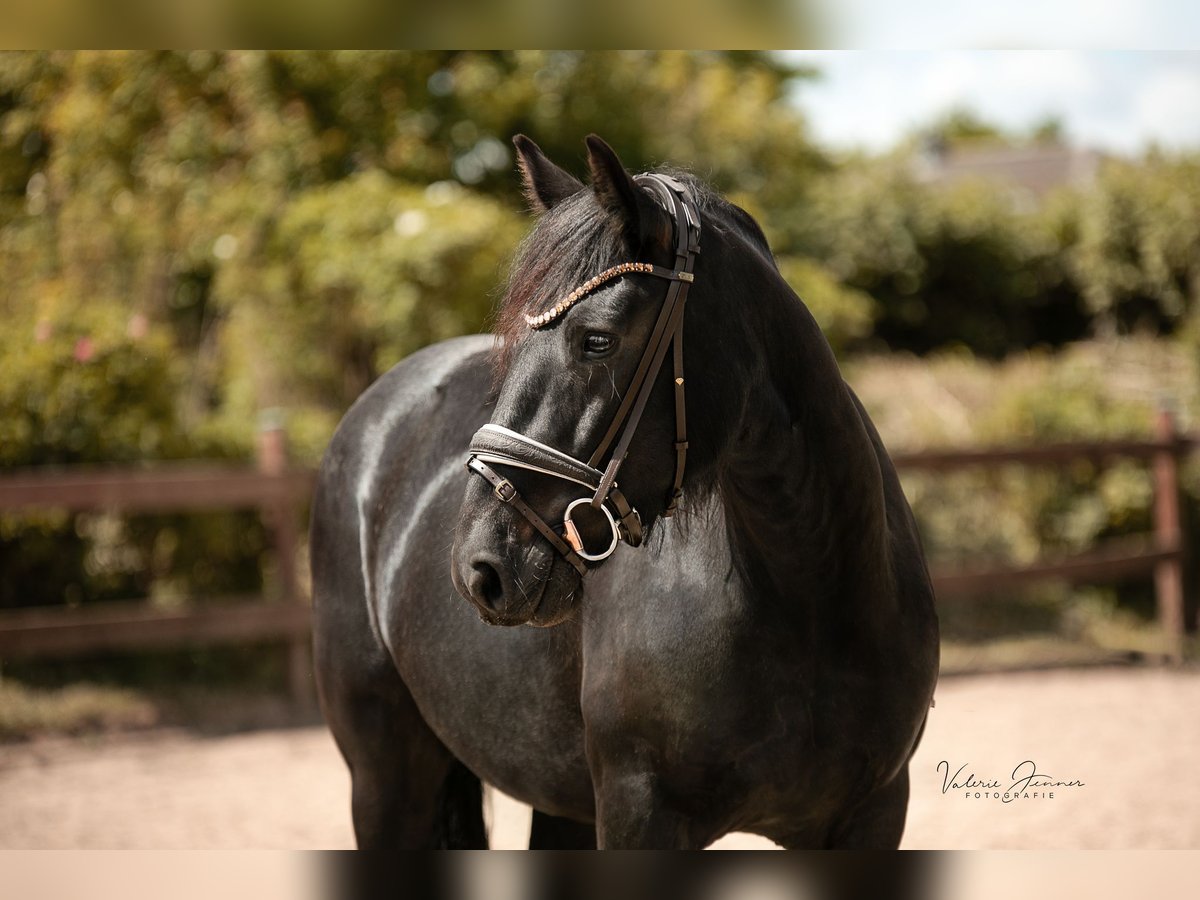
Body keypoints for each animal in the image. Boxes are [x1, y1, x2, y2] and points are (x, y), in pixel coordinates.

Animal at [310, 134, 939, 849]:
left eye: (597, 340)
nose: (482, 566)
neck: (812, 600)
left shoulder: (873, 814)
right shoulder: (640, 814)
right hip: (386, 781)